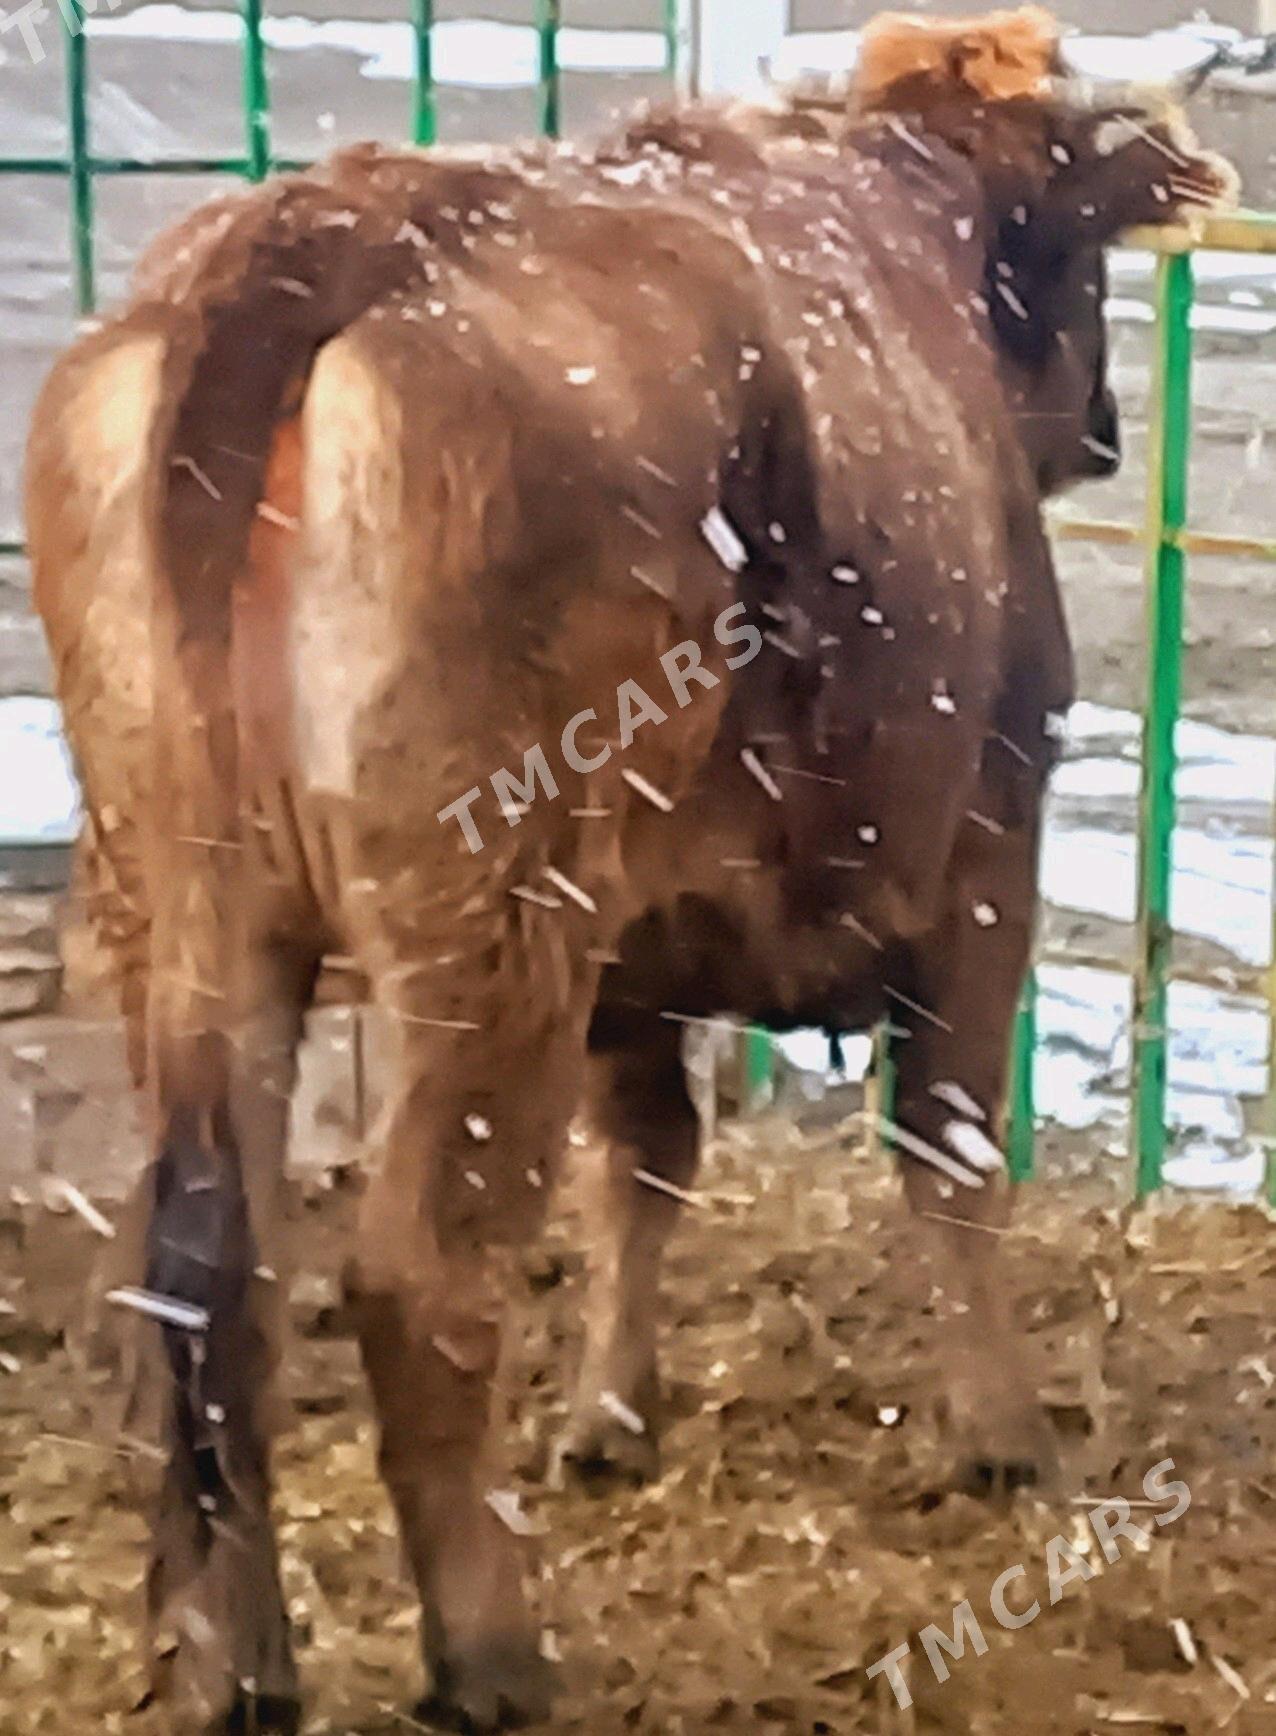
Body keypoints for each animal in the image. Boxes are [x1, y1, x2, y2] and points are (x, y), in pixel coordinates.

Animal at [24, 10, 1236, 1722]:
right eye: (1064, 251)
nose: (1108, 425)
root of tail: (325, 231)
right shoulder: (989, 845)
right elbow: (947, 1145)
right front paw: (1004, 1437)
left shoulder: (640, 953)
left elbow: (644, 1161)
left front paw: (607, 1413)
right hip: (486, 936)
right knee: (415, 1280)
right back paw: (490, 1659)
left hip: (195, 919)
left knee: (202, 1266)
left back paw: (234, 1661)